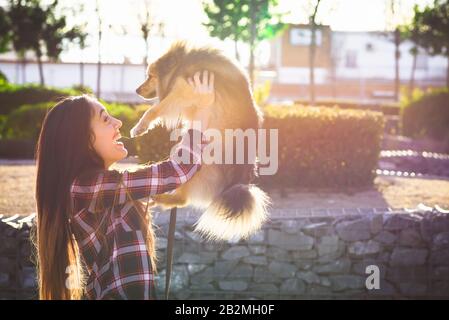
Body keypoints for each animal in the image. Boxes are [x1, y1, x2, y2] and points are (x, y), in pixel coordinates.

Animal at [130, 42, 270, 241]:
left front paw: (139, 127)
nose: (136, 90)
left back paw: (160, 198)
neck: (180, 64)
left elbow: (153, 110)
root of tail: (237, 182)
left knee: (182, 198)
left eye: (150, 76)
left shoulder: (183, 91)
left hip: (197, 166)